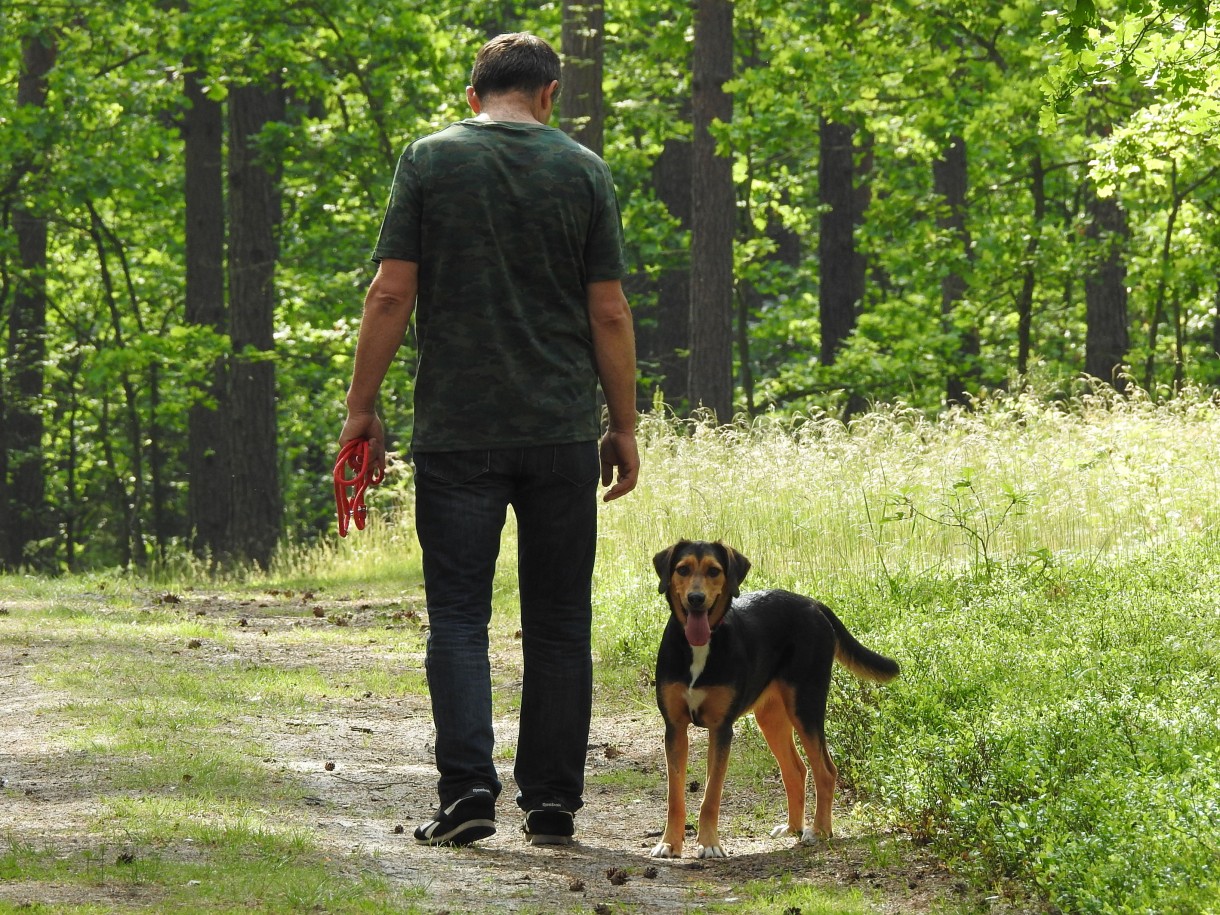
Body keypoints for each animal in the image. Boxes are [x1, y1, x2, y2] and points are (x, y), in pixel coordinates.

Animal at [653, 536, 902, 858]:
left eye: (713, 571)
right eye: (682, 569)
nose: (696, 598)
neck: (700, 648)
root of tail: (812, 604)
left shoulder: (721, 729)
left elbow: (711, 796)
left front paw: (709, 844)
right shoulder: (675, 728)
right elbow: (675, 796)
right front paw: (670, 843)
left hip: (805, 706)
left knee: (826, 771)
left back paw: (819, 831)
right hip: (771, 717)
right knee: (796, 770)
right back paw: (794, 827)